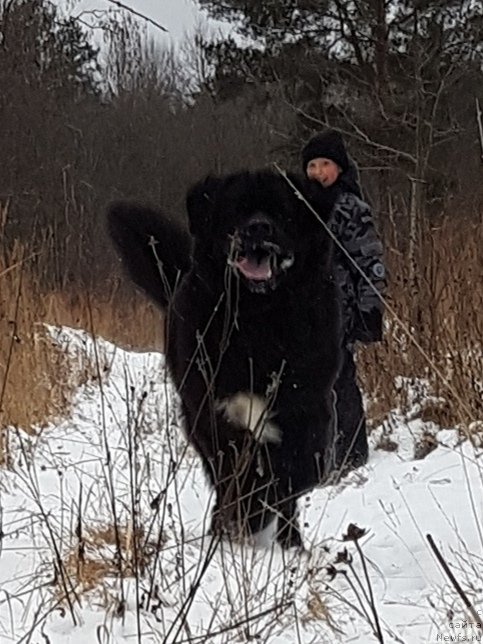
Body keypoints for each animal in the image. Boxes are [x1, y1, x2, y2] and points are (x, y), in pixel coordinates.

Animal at [108, 169, 342, 544]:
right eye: (237, 211)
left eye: (282, 212)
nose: (258, 228)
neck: (258, 320)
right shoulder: (210, 409)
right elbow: (235, 472)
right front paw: (248, 514)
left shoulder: (307, 404)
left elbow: (297, 470)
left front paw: (267, 515)